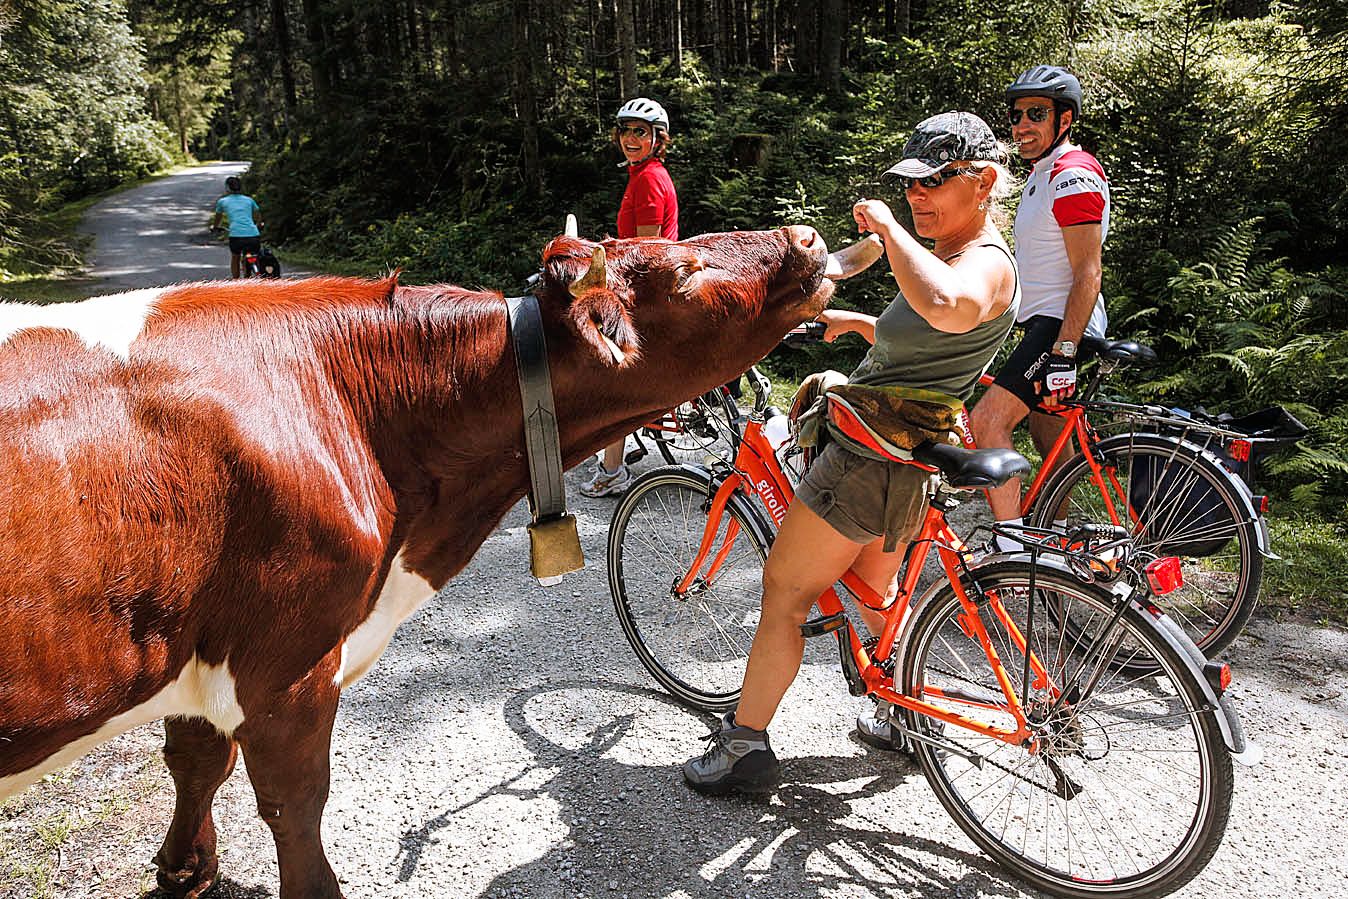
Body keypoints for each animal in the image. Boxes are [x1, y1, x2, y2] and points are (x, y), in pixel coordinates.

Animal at [0, 226, 837, 898]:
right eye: (687, 270)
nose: (806, 235)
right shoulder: (288, 665)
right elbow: (294, 805)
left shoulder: (200, 640)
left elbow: (196, 758)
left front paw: (183, 870)